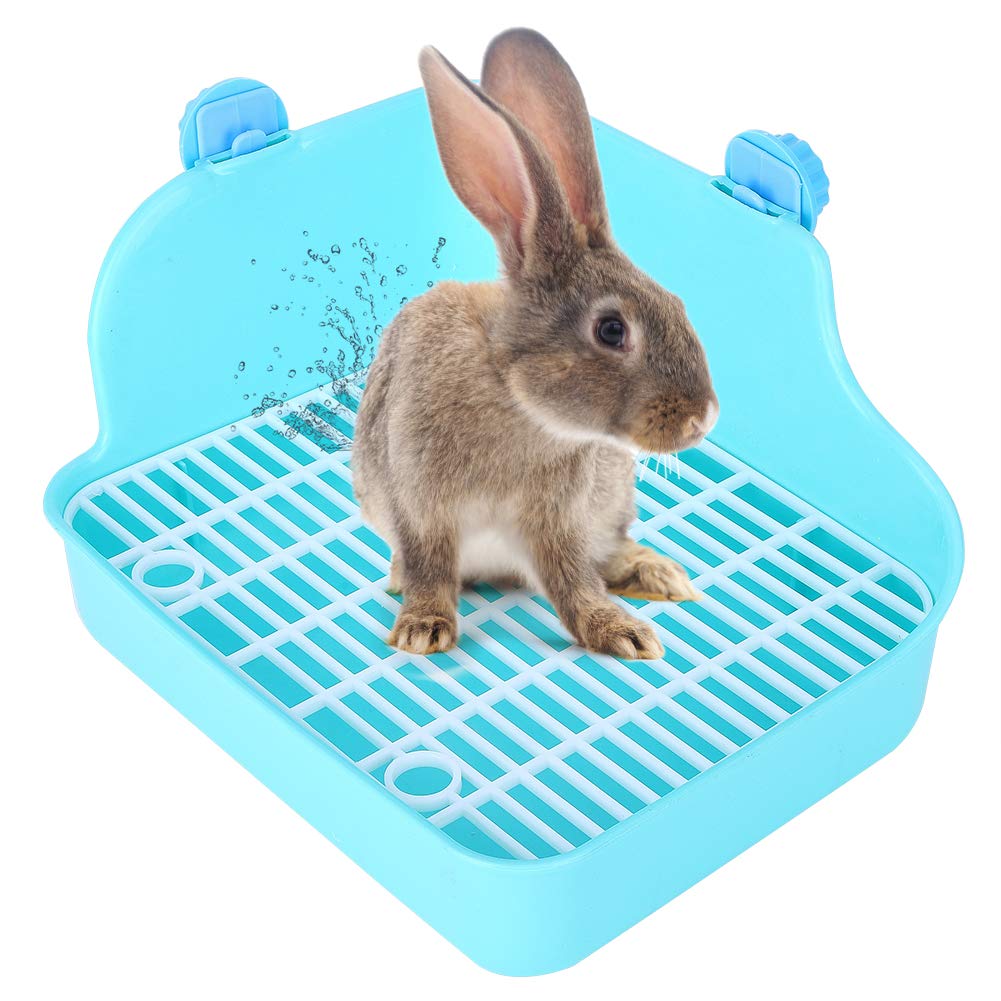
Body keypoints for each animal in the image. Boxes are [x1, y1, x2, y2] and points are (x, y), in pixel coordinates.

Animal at [353, 28, 718, 660]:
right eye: (612, 330)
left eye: (677, 304)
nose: (704, 419)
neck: (513, 393)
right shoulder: (421, 509)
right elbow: (429, 568)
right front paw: (422, 629)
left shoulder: (558, 524)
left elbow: (573, 584)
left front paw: (622, 633)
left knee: (609, 550)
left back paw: (658, 574)